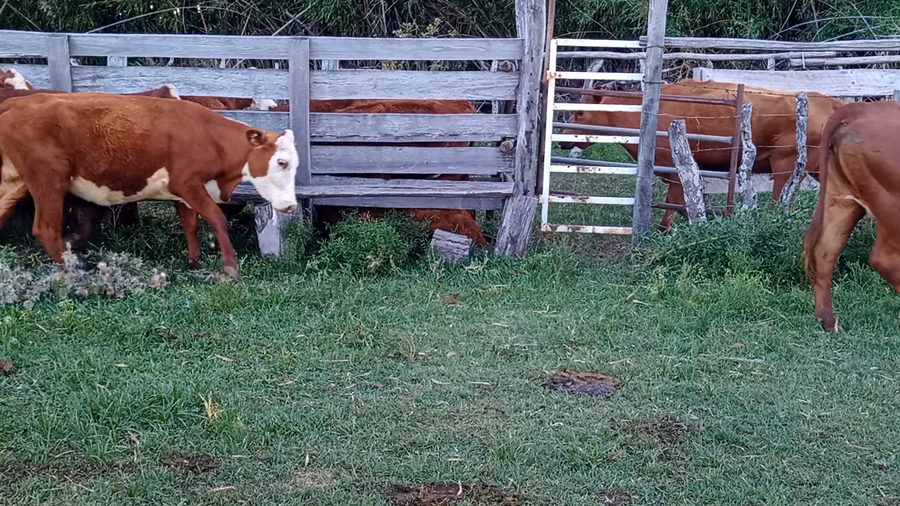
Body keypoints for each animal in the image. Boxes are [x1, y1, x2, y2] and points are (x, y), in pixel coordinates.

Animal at [0, 93, 298, 278]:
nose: (291, 205)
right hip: (48, 180)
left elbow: (190, 224)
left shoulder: (183, 193)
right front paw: (231, 268)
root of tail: (17, 103)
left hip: (14, 181)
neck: (208, 137)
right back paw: (74, 274)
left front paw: (195, 264)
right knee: (46, 228)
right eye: (281, 162)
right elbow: (216, 218)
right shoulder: (188, 184)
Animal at [561, 81, 844, 231]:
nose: (562, 140)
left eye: (581, 112)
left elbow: (672, 209)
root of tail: (831, 102)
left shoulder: (675, 172)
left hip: (786, 165)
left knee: (780, 205)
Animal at [802, 101, 900, 332]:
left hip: (841, 201)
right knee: (885, 259)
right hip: (891, 205)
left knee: (825, 251)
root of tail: (859, 108)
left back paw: (828, 322)